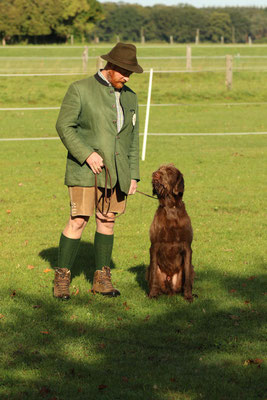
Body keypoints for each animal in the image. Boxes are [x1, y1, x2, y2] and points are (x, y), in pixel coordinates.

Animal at [148, 164, 196, 302]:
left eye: (169, 171)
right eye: (159, 169)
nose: (155, 174)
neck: (170, 208)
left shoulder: (187, 247)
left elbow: (187, 278)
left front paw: (188, 296)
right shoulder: (154, 245)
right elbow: (154, 273)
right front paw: (152, 293)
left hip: (192, 269)